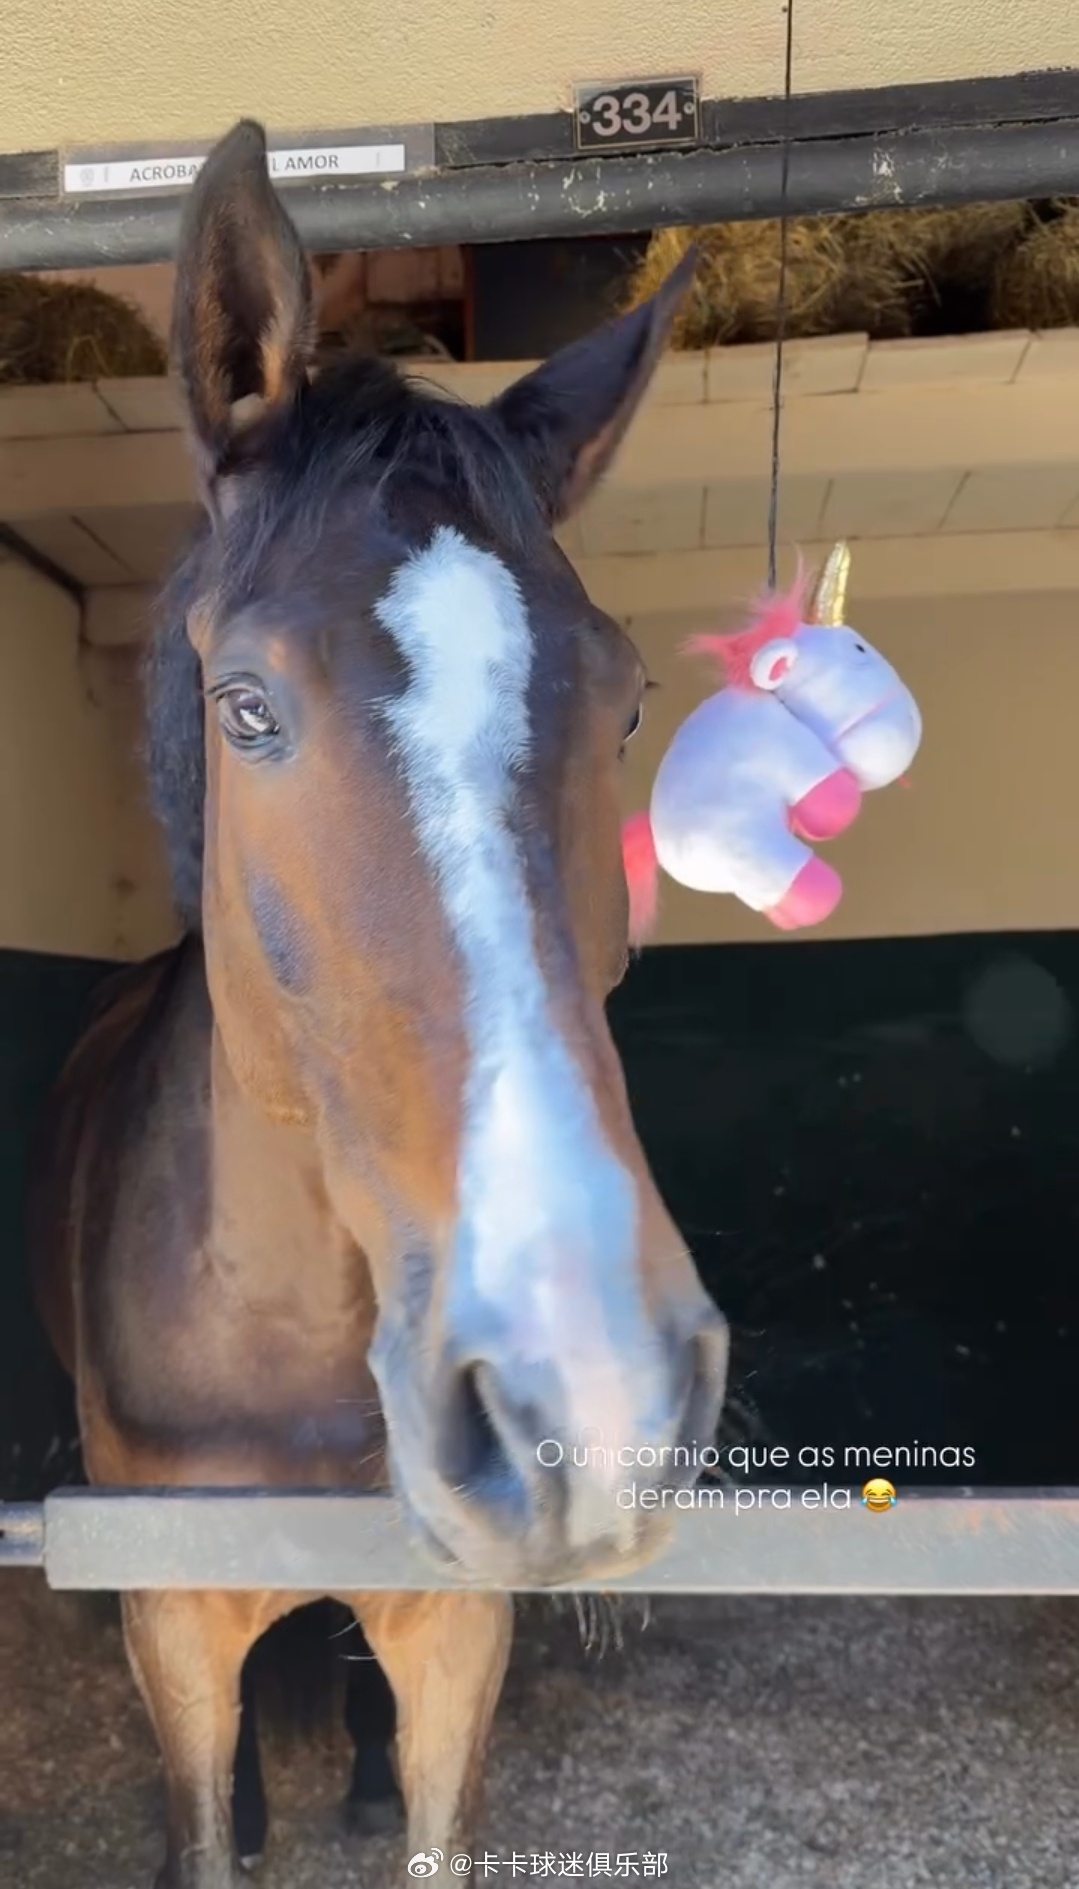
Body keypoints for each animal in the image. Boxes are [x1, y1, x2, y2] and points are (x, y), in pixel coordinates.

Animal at [29, 117, 729, 1888]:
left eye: (626, 704)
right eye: (245, 708)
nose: (583, 1395)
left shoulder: (455, 1634)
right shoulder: (168, 1624)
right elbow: (205, 1817)